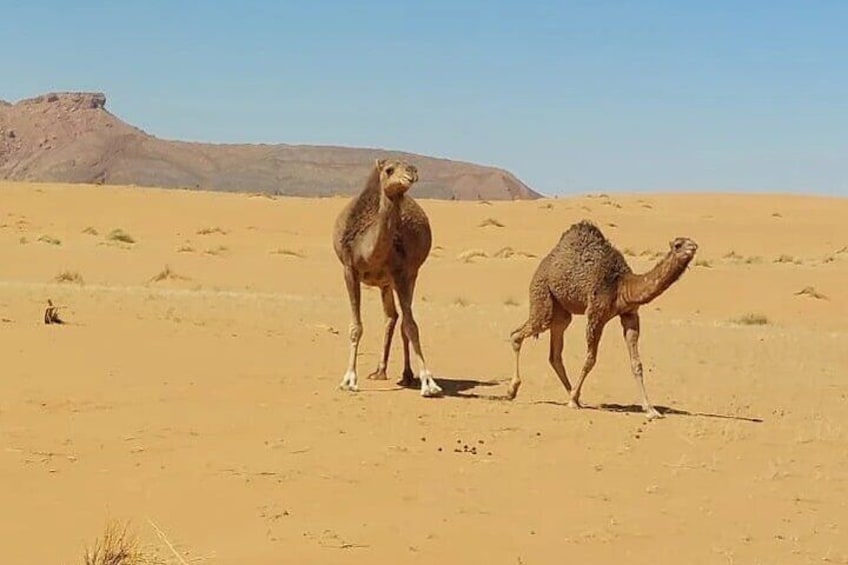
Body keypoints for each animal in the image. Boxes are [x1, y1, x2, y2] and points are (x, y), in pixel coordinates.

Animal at [332, 159, 440, 396]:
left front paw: (428, 382)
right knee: (391, 316)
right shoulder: (349, 269)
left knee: (399, 319)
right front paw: (349, 380)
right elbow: (356, 327)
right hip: (384, 284)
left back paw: (406, 374)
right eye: (389, 170)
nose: (411, 174)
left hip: (409, 275)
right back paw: (380, 371)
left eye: (412, 167)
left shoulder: (401, 272)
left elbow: (412, 326)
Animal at [510, 220, 696, 418]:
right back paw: (513, 390)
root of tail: (544, 263)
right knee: (518, 334)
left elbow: (636, 363)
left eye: (692, 242)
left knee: (555, 353)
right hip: (543, 296)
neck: (621, 285)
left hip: (561, 312)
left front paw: (650, 409)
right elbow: (590, 359)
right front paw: (572, 400)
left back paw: (574, 396)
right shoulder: (596, 313)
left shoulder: (630, 315)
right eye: (678, 245)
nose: (693, 247)